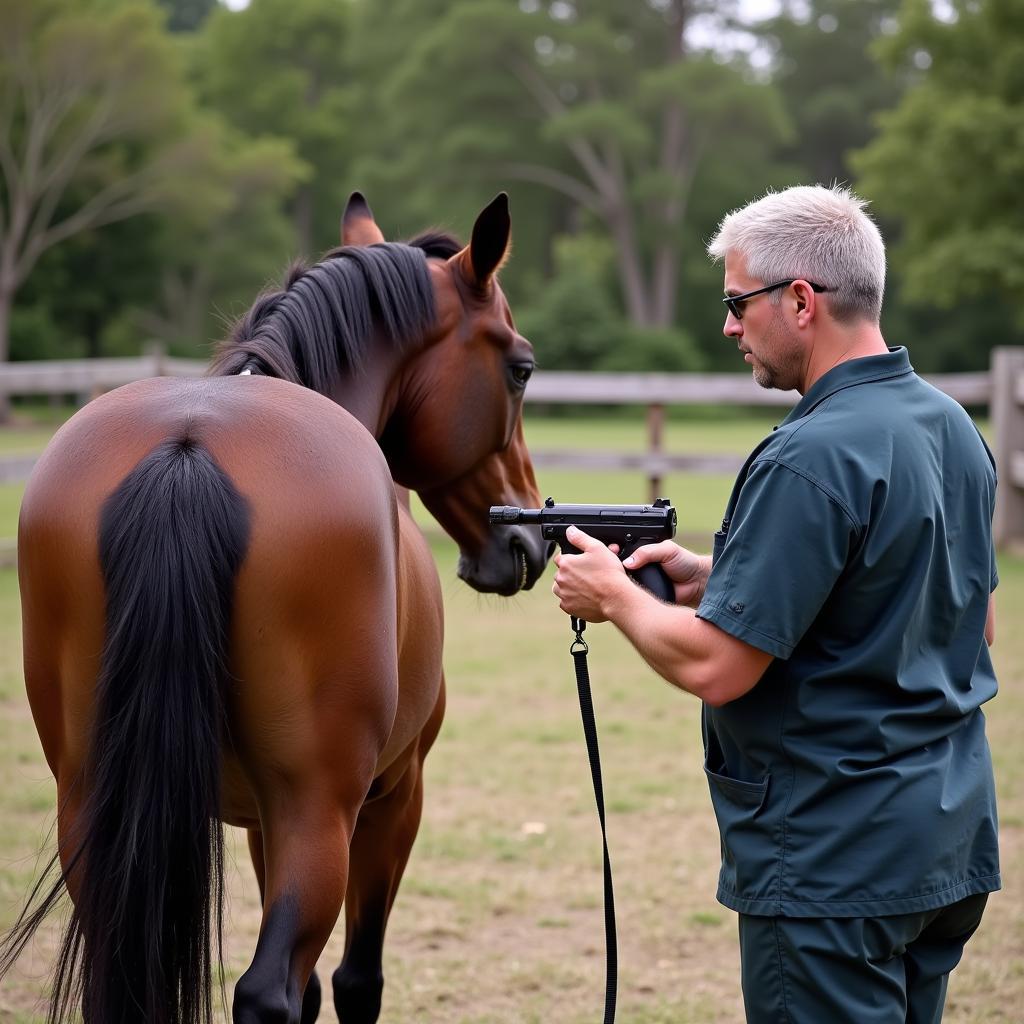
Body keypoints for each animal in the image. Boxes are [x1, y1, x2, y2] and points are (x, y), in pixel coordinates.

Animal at [0, 193, 557, 1024]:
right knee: (268, 993)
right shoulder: (393, 796)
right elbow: (351, 982)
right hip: (319, 811)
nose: (526, 533)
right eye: (519, 370)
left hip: (95, 807)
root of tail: (188, 445)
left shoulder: (261, 819)